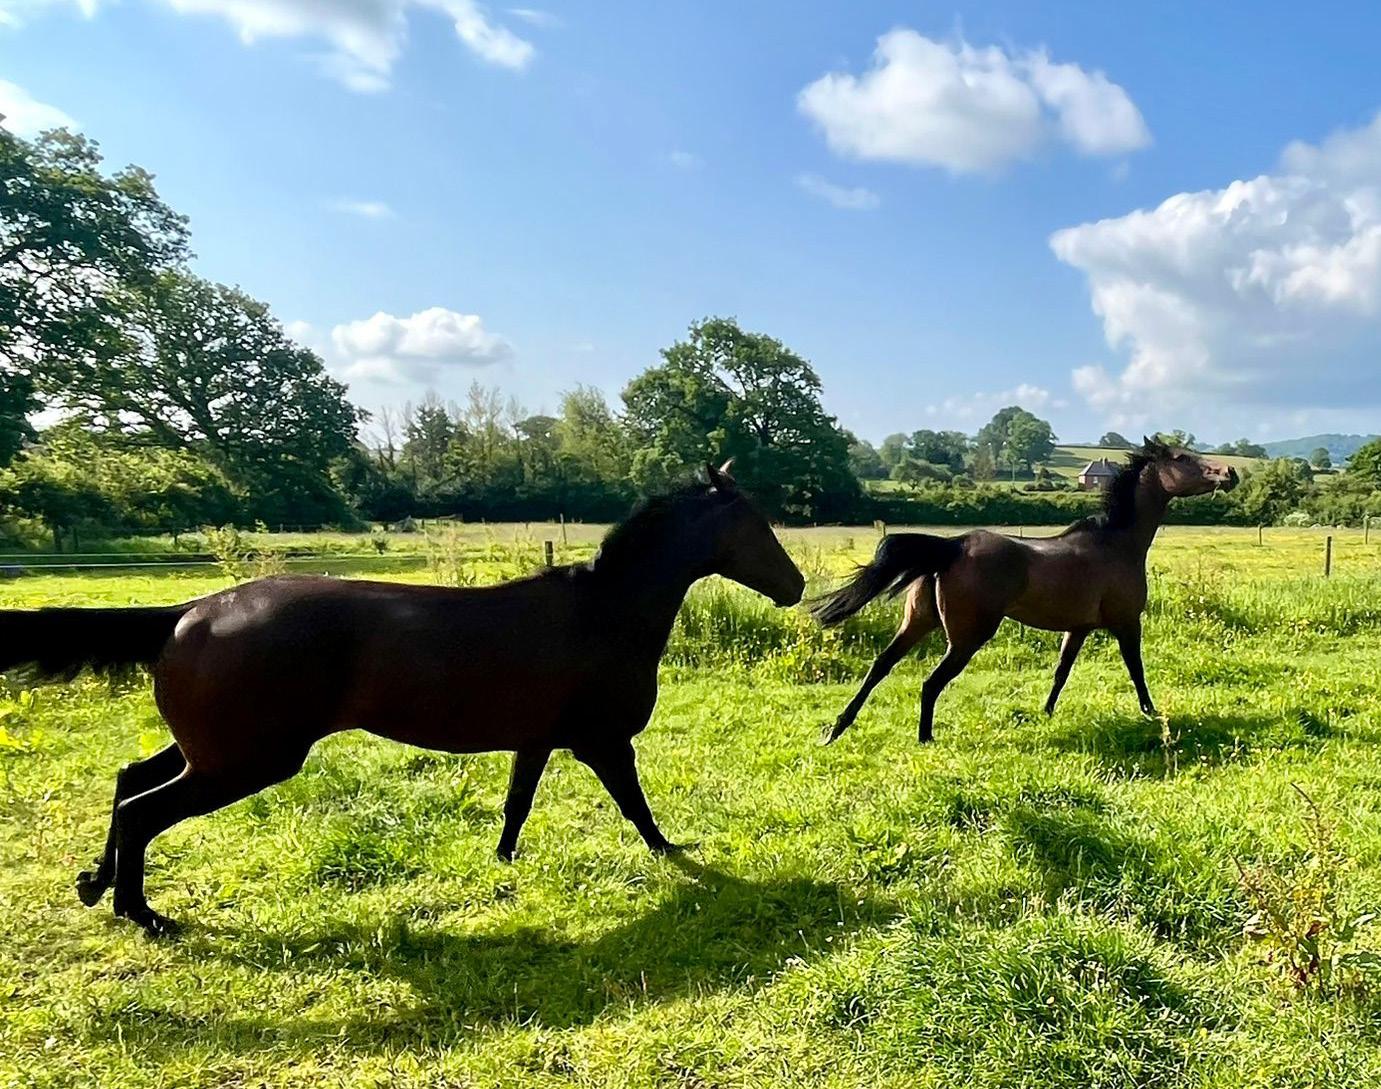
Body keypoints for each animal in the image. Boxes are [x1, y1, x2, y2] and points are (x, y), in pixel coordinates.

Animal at [0, 463, 805, 936]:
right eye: (756, 524)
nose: (795, 585)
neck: (606, 611)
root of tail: (189, 610)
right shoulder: (602, 740)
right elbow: (637, 808)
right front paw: (677, 855)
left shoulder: (536, 738)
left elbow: (516, 807)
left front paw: (502, 865)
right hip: (245, 760)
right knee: (142, 808)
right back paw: (142, 913)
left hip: (214, 749)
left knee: (128, 780)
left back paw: (95, 883)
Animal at [812, 439, 1238, 744]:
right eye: (1181, 457)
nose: (1230, 472)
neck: (1117, 543)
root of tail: (953, 546)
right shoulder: (1126, 621)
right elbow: (1136, 669)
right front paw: (1152, 713)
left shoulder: (1078, 628)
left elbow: (1061, 673)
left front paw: (1045, 713)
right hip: (967, 637)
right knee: (930, 682)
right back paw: (925, 738)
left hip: (917, 623)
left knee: (881, 666)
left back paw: (836, 729)